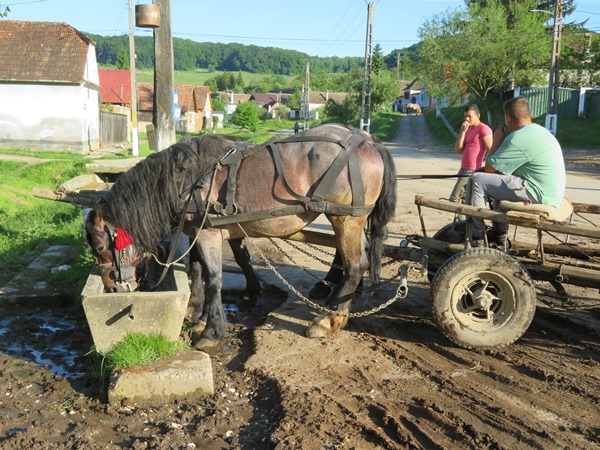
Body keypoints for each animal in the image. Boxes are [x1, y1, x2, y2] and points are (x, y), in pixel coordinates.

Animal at [84, 124, 394, 352]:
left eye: (99, 245)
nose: (112, 288)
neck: (187, 178)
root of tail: (367, 139)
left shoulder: (207, 233)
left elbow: (213, 278)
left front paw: (211, 331)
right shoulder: (198, 230)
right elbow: (199, 268)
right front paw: (197, 314)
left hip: (345, 219)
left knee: (355, 265)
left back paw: (328, 319)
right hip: (350, 220)